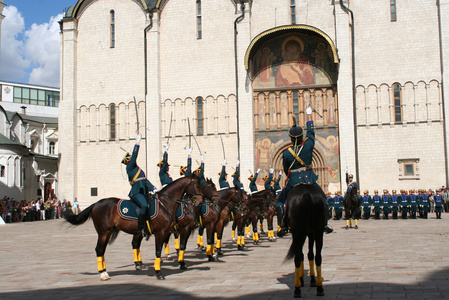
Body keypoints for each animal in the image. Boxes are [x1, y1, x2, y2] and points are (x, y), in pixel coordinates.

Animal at [63, 173, 203, 282]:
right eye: (198, 185)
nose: (200, 201)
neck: (165, 204)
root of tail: (95, 204)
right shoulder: (161, 232)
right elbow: (158, 251)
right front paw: (159, 273)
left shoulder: (168, 232)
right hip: (103, 232)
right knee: (99, 249)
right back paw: (103, 273)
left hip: (112, 233)